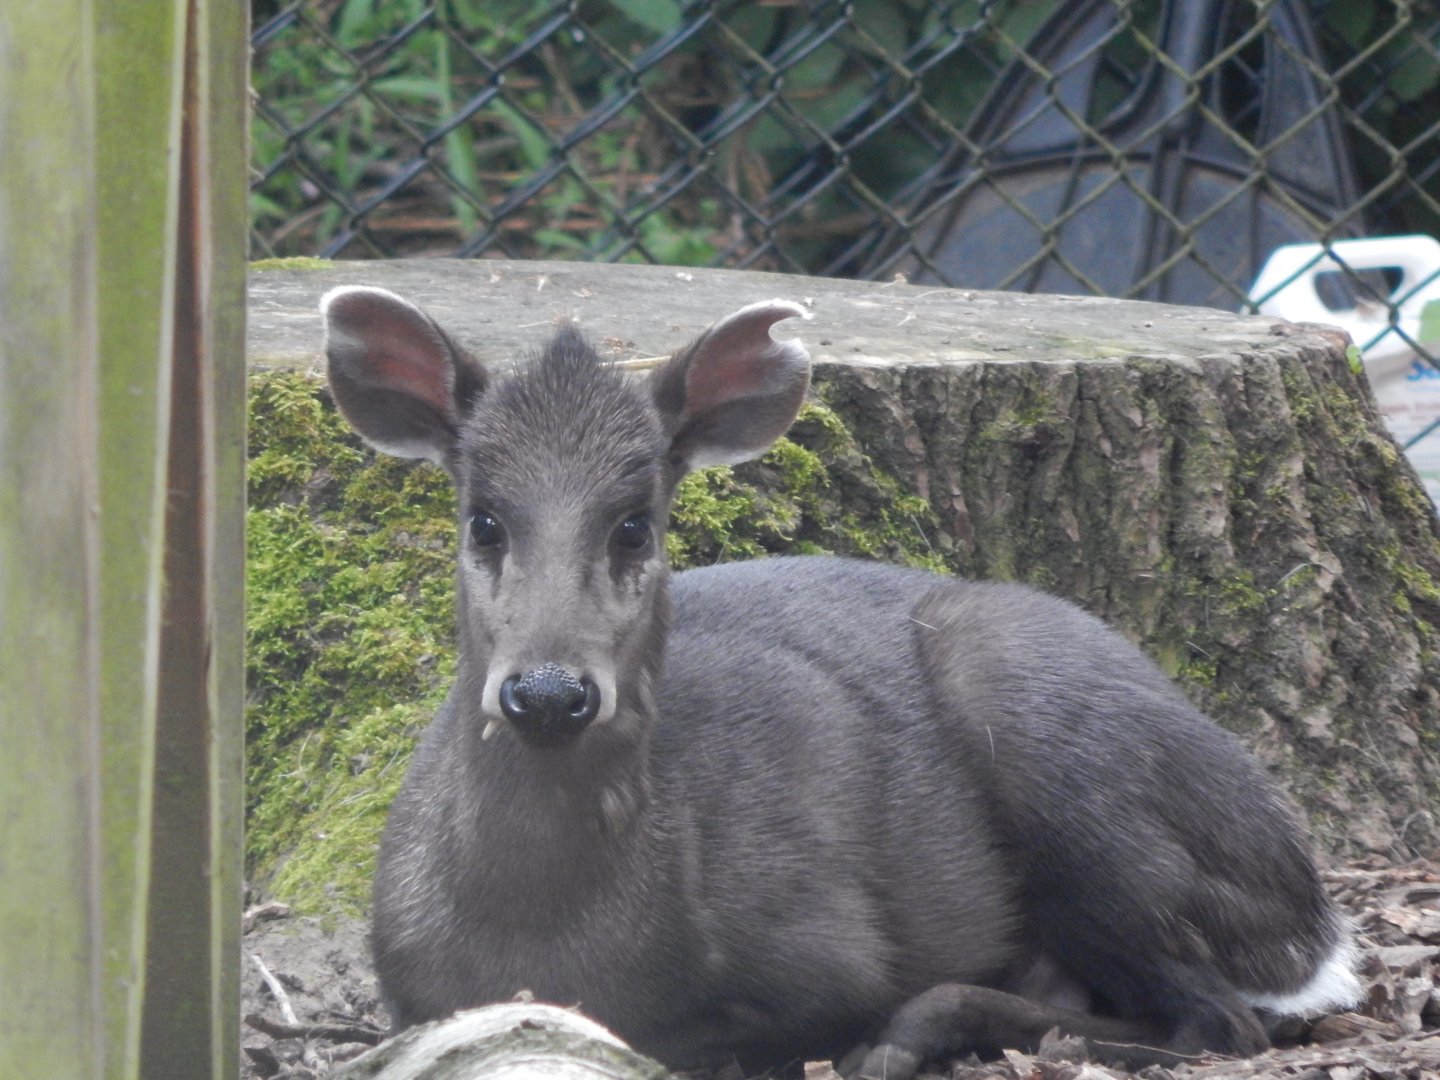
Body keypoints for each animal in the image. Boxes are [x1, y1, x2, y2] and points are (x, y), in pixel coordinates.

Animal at [320, 286, 1360, 1078]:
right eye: (485, 521)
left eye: (634, 524)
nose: (547, 693)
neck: (545, 931)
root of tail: (1314, 925)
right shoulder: (410, 989)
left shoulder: (827, 943)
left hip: (1067, 766)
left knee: (1217, 1020)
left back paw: (914, 1035)